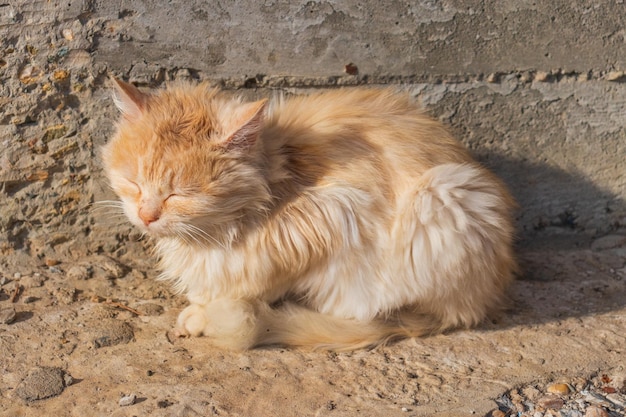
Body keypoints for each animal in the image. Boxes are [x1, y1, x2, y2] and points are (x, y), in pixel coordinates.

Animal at [101, 77, 512, 348]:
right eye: (133, 182)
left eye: (179, 194)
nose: (146, 215)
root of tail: (486, 296)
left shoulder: (334, 214)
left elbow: (255, 282)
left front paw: (207, 311)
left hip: (445, 195)